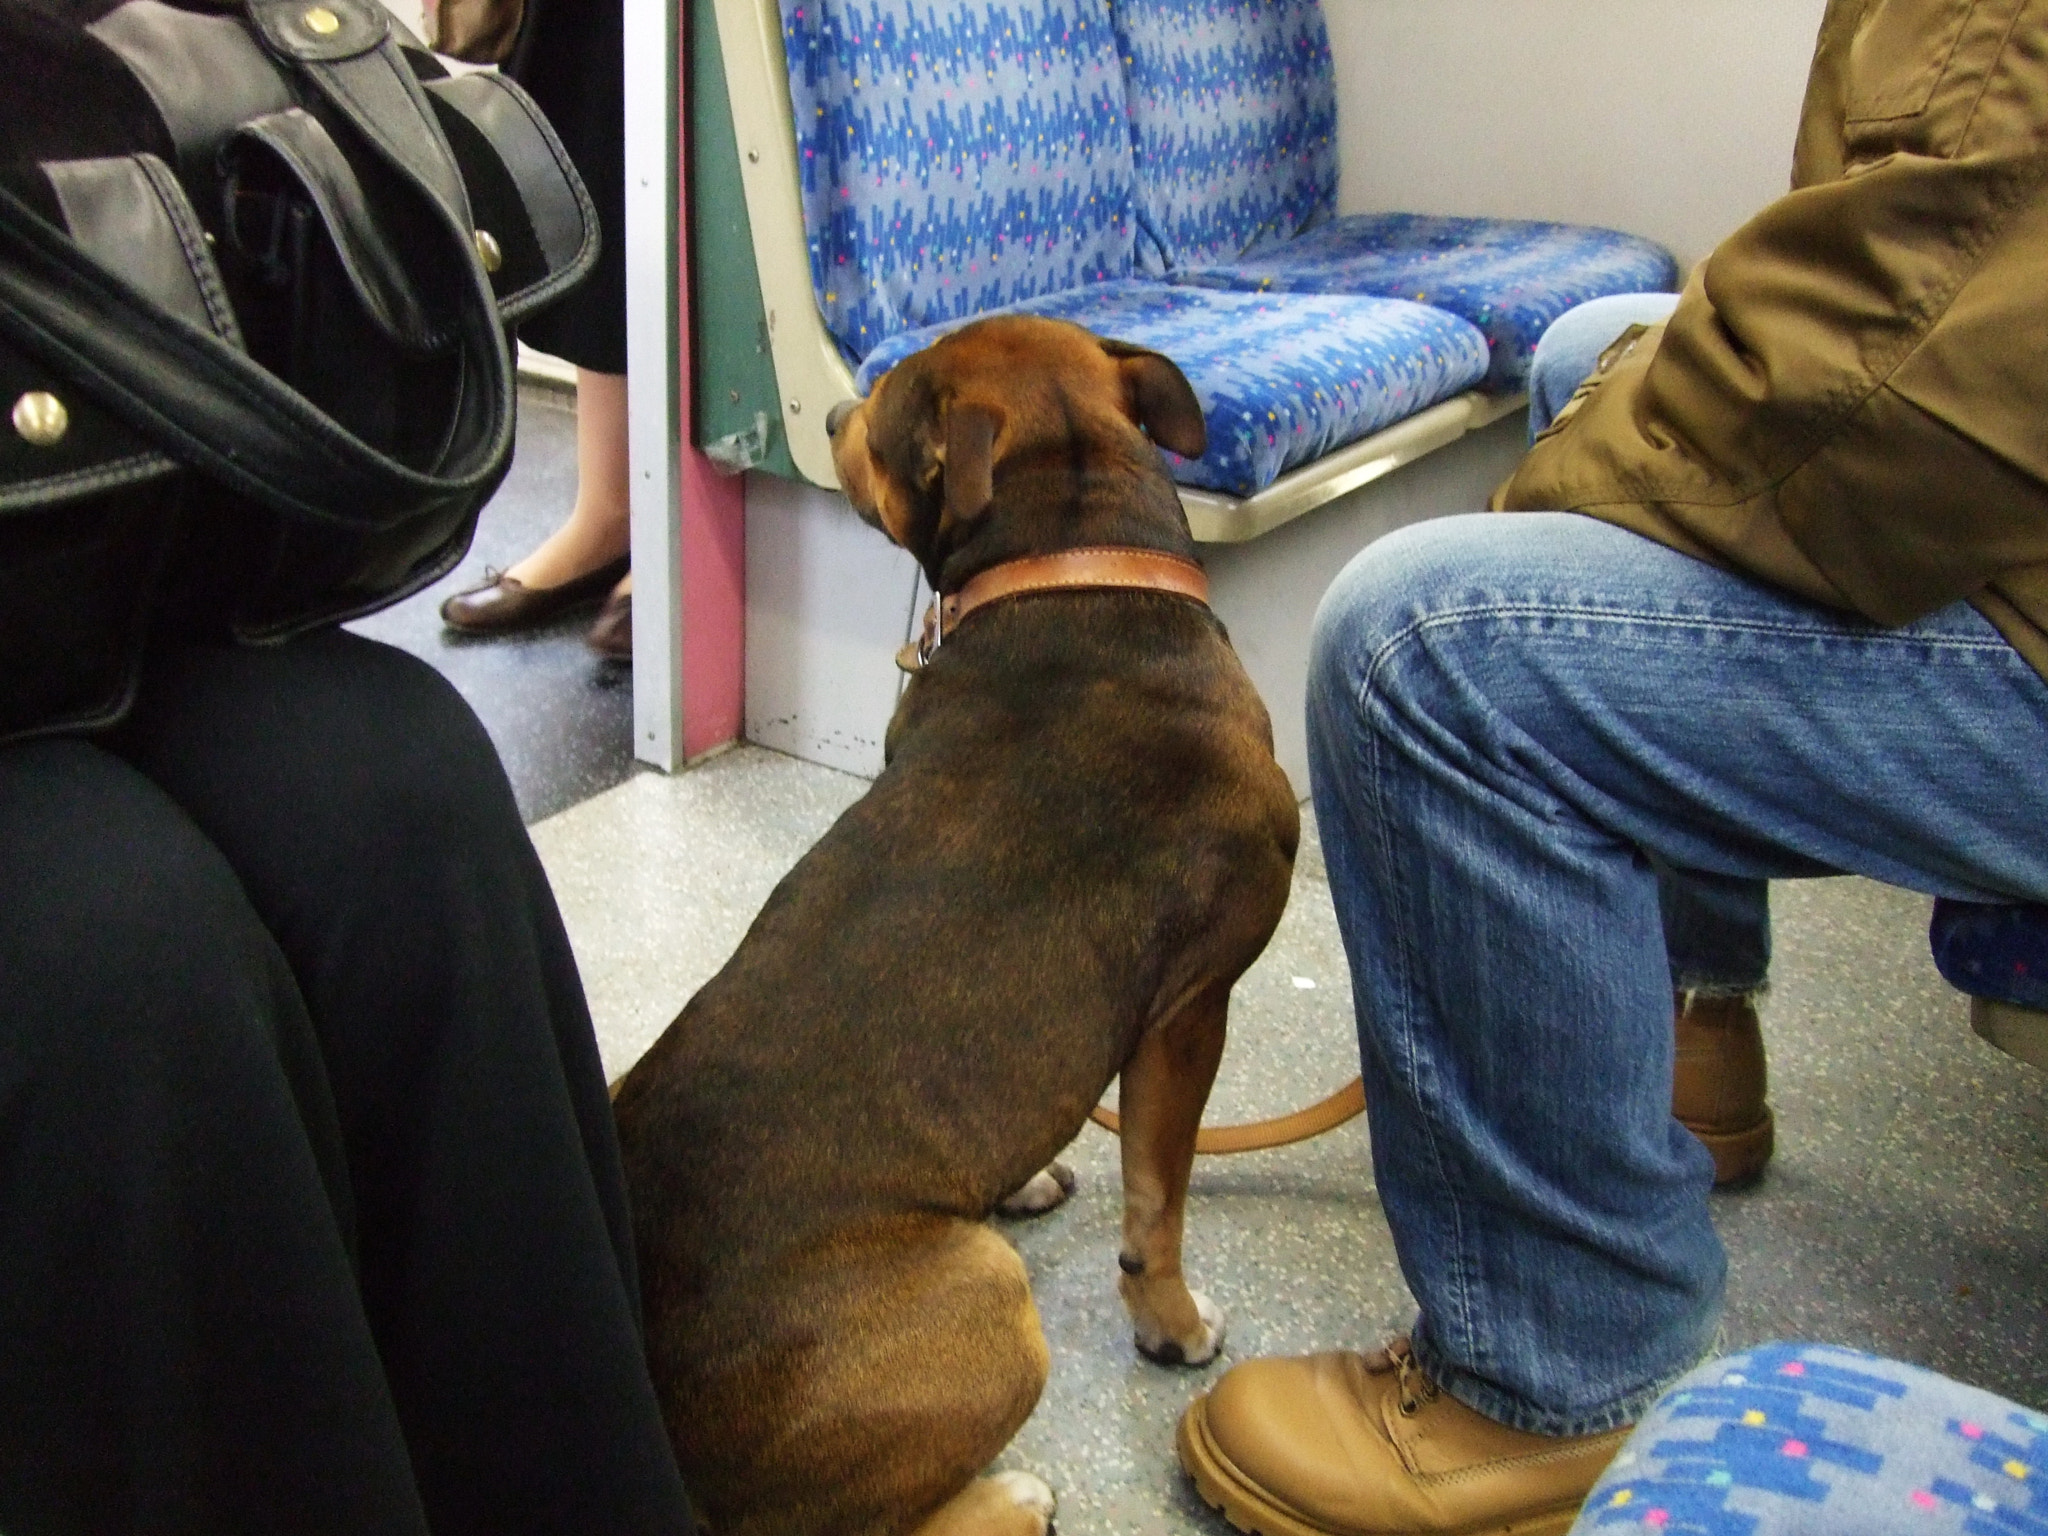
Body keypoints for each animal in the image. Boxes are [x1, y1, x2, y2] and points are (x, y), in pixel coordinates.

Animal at [614, 315, 1302, 1536]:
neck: (1071, 567)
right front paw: (1171, 1326)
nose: (838, 410)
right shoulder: (1189, 1014)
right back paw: (1011, 1496)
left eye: (881, 409)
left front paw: (1018, 1179)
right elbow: (1157, 1206)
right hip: (986, 1301)